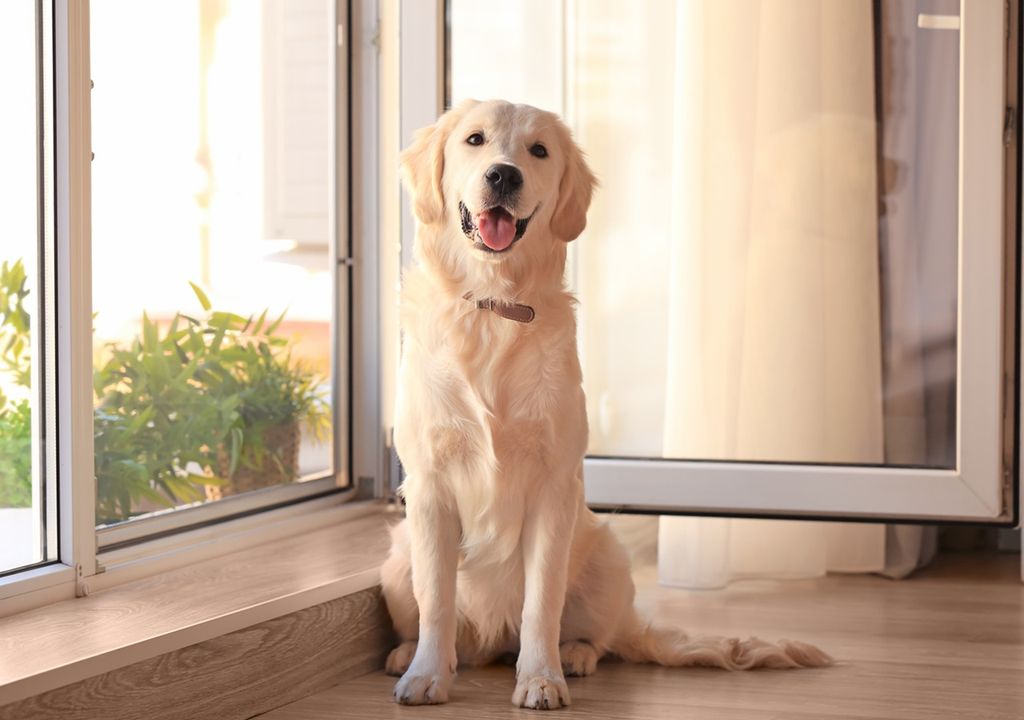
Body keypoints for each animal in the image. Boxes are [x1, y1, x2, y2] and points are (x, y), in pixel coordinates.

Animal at [380, 99, 827, 708]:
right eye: (475, 140)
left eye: (539, 150)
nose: (503, 175)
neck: (494, 308)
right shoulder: (428, 486)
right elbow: (437, 600)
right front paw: (426, 675)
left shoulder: (554, 486)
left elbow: (542, 602)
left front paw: (542, 678)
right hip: (395, 561)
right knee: (440, 618)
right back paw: (409, 654)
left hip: (608, 558)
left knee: (602, 637)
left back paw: (574, 654)